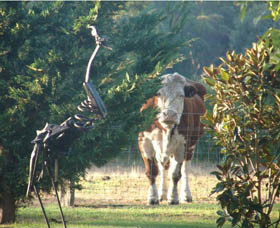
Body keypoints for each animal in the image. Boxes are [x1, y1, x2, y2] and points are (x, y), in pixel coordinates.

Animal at [138, 72, 206, 205]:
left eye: (181, 95)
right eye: (158, 93)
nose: (170, 114)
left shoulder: (182, 144)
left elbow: (175, 174)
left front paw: (173, 198)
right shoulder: (144, 140)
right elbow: (152, 171)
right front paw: (153, 197)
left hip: (191, 145)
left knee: (185, 169)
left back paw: (186, 195)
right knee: (163, 166)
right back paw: (162, 194)